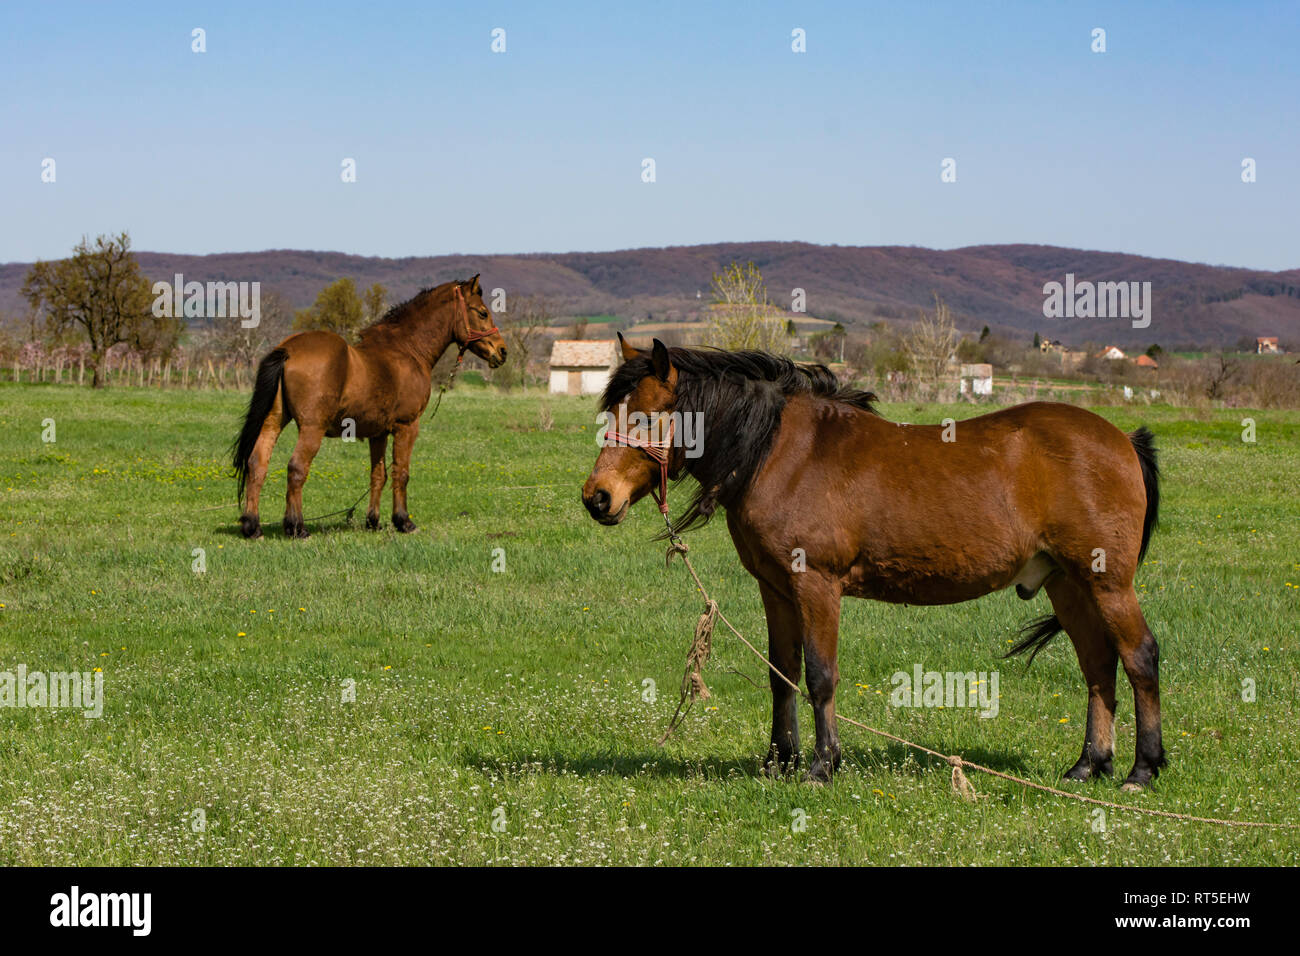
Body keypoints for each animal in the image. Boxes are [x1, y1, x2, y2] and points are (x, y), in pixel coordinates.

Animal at [231, 277, 504, 538]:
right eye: (482, 313)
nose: (502, 351)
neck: (407, 349)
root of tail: (288, 349)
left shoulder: (378, 433)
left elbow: (378, 475)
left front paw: (373, 521)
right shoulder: (407, 426)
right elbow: (401, 473)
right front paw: (403, 521)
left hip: (273, 421)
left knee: (257, 464)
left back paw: (253, 527)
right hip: (311, 429)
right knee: (297, 468)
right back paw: (297, 528)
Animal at [585, 335, 1164, 790]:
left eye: (644, 416)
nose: (597, 497)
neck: (780, 451)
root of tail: (1122, 439)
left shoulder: (816, 584)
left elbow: (820, 675)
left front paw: (822, 766)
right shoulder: (775, 587)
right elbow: (782, 674)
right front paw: (778, 763)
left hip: (1107, 583)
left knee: (1139, 657)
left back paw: (1142, 769)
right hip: (1067, 583)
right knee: (1098, 666)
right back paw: (1089, 765)